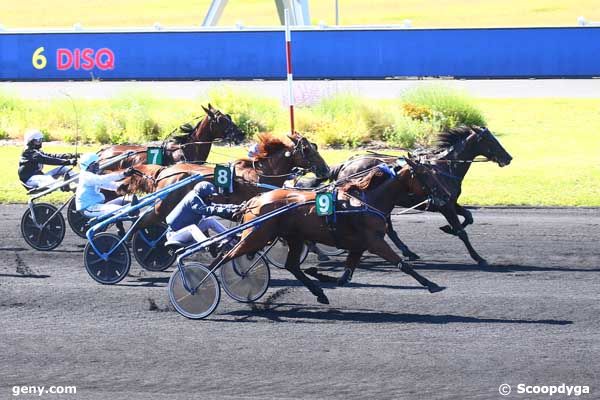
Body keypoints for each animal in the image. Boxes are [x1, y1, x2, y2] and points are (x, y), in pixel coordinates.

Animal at [116, 132, 332, 228]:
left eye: (314, 147)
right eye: (307, 150)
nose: (326, 169)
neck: (262, 173)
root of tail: (165, 171)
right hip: (162, 206)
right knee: (142, 222)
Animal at [204, 156, 452, 304]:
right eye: (426, 175)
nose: (447, 195)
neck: (366, 200)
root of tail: (255, 200)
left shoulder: (359, 246)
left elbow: (344, 278)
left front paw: (320, 275)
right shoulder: (375, 242)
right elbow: (402, 264)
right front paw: (431, 284)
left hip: (293, 238)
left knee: (292, 266)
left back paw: (319, 293)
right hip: (256, 235)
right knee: (223, 257)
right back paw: (203, 281)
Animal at [298, 126, 510, 266]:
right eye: (491, 141)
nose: (509, 158)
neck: (444, 168)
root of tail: (345, 164)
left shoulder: (447, 200)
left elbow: (468, 217)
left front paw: (448, 229)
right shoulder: (444, 205)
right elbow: (462, 231)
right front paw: (478, 257)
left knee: (389, 228)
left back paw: (408, 251)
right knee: (387, 228)